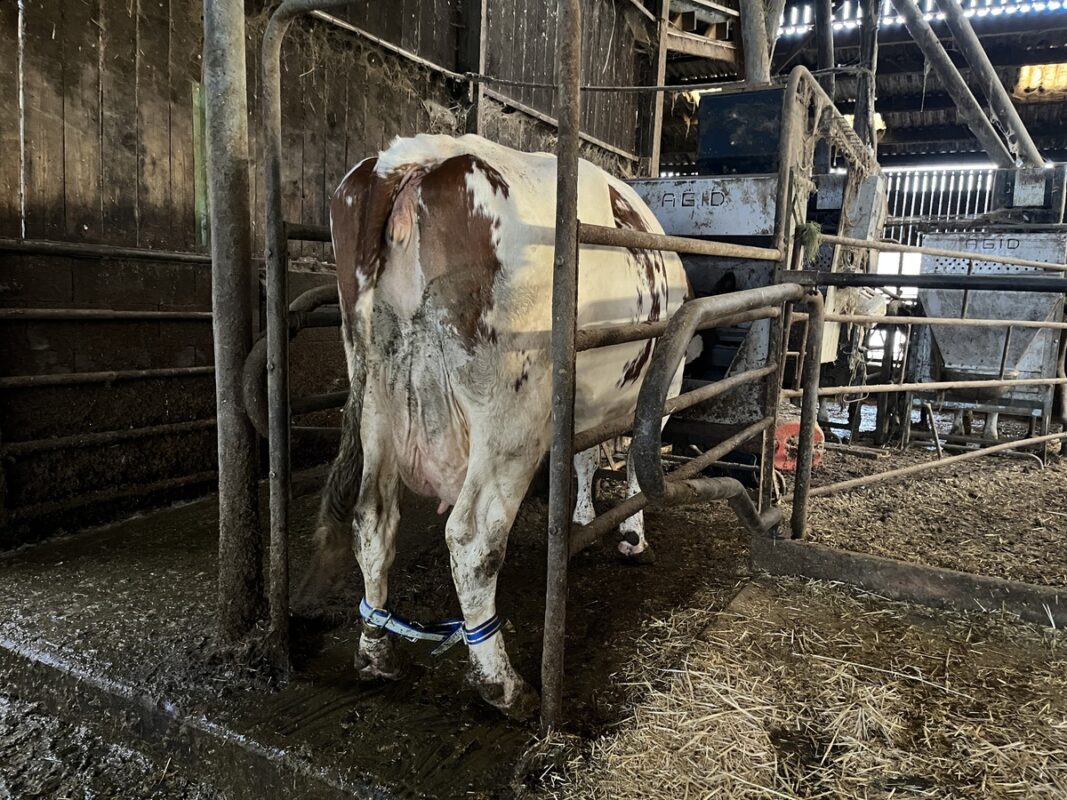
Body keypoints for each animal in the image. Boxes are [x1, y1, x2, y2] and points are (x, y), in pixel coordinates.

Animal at [301, 134, 688, 718]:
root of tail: (412, 157)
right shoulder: (661, 389)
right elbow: (640, 469)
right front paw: (631, 537)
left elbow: (584, 457)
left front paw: (582, 518)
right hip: (512, 417)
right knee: (473, 539)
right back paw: (502, 683)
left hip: (374, 396)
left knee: (373, 519)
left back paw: (375, 654)